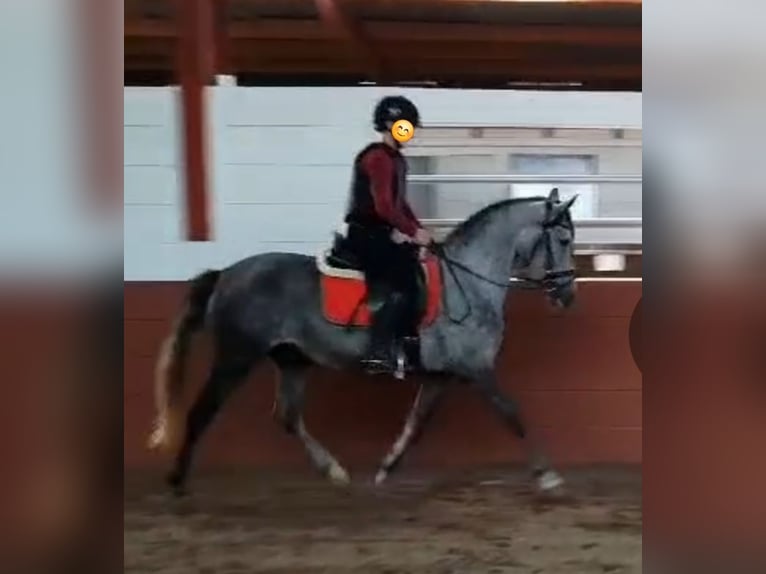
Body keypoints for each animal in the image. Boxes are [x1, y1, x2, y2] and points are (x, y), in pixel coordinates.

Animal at [150, 187, 580, 498]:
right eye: (562, 239)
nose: (566, 296)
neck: (468, 284)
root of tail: (225, 274)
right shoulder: (477, 369)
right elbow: (512, 414)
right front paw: (548, 476)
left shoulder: (441, 375)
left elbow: (416, 423)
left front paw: (385, 469)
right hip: (236, 357)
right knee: (201, 412)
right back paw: (176, 481)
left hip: (292, 359)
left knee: (287, 416)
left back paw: (334, 470)